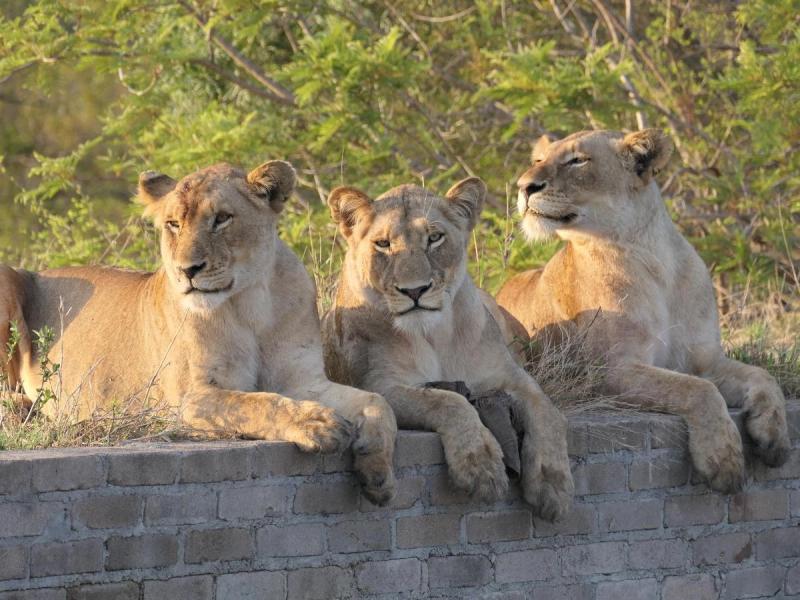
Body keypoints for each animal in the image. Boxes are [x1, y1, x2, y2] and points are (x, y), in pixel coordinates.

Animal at [0, 161, 397, 504]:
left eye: (221, 219)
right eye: (173, 224)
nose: (187, 270)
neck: (252, 304)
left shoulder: (304, 380)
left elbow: (378, 401)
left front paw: (377, 471)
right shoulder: (189, 398)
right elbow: (257, 403)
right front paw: (316, 422)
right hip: (9, 277)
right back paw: (29, 410)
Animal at [321, 178, 574, 521]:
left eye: (434, 238)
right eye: (383, 244)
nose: (415, 290)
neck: (434, 335)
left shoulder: (511, 376)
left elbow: (546, 411)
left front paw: (552, 483)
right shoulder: (378, 384)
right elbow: (448, 399)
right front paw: (480, 464)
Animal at [497, 129, 790, 492]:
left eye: (577, 160)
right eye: (538, 160)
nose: (524, 186)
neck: (653, 258)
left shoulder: (705, 360)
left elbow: (762, 376)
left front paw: (774, 438)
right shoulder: (609, 371)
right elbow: (698, 389)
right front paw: (723, 458)